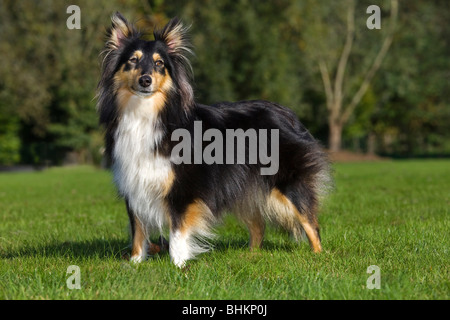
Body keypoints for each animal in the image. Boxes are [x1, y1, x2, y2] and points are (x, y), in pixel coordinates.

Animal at [96, 11, 332, 268]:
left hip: (288, 183)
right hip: (244, 185)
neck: (146, 113)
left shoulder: (183, 190)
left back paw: (319, 257)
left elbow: (177, 231)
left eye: (160, 64)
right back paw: (250, 256)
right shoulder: (134, 183)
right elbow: (137, 229)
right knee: (258, 226)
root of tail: (289, 115)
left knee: (311, 224)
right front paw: (135, 263)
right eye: (133, 60)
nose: (145, 80)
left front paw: (179, 265)